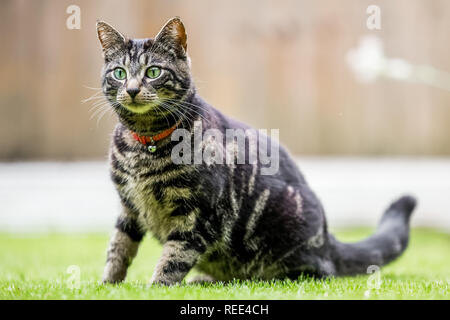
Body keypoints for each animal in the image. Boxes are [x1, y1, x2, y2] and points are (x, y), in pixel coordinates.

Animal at [96, 17, 416, 284]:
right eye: (119, 73)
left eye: (152, 71)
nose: (132, 89)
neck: (144, 143)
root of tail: (327, 238)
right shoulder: (128, 207)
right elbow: (118, 248)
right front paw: (108, 285)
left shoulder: (197, 216)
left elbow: (173, 259)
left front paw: (156, 287)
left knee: (318, 273)